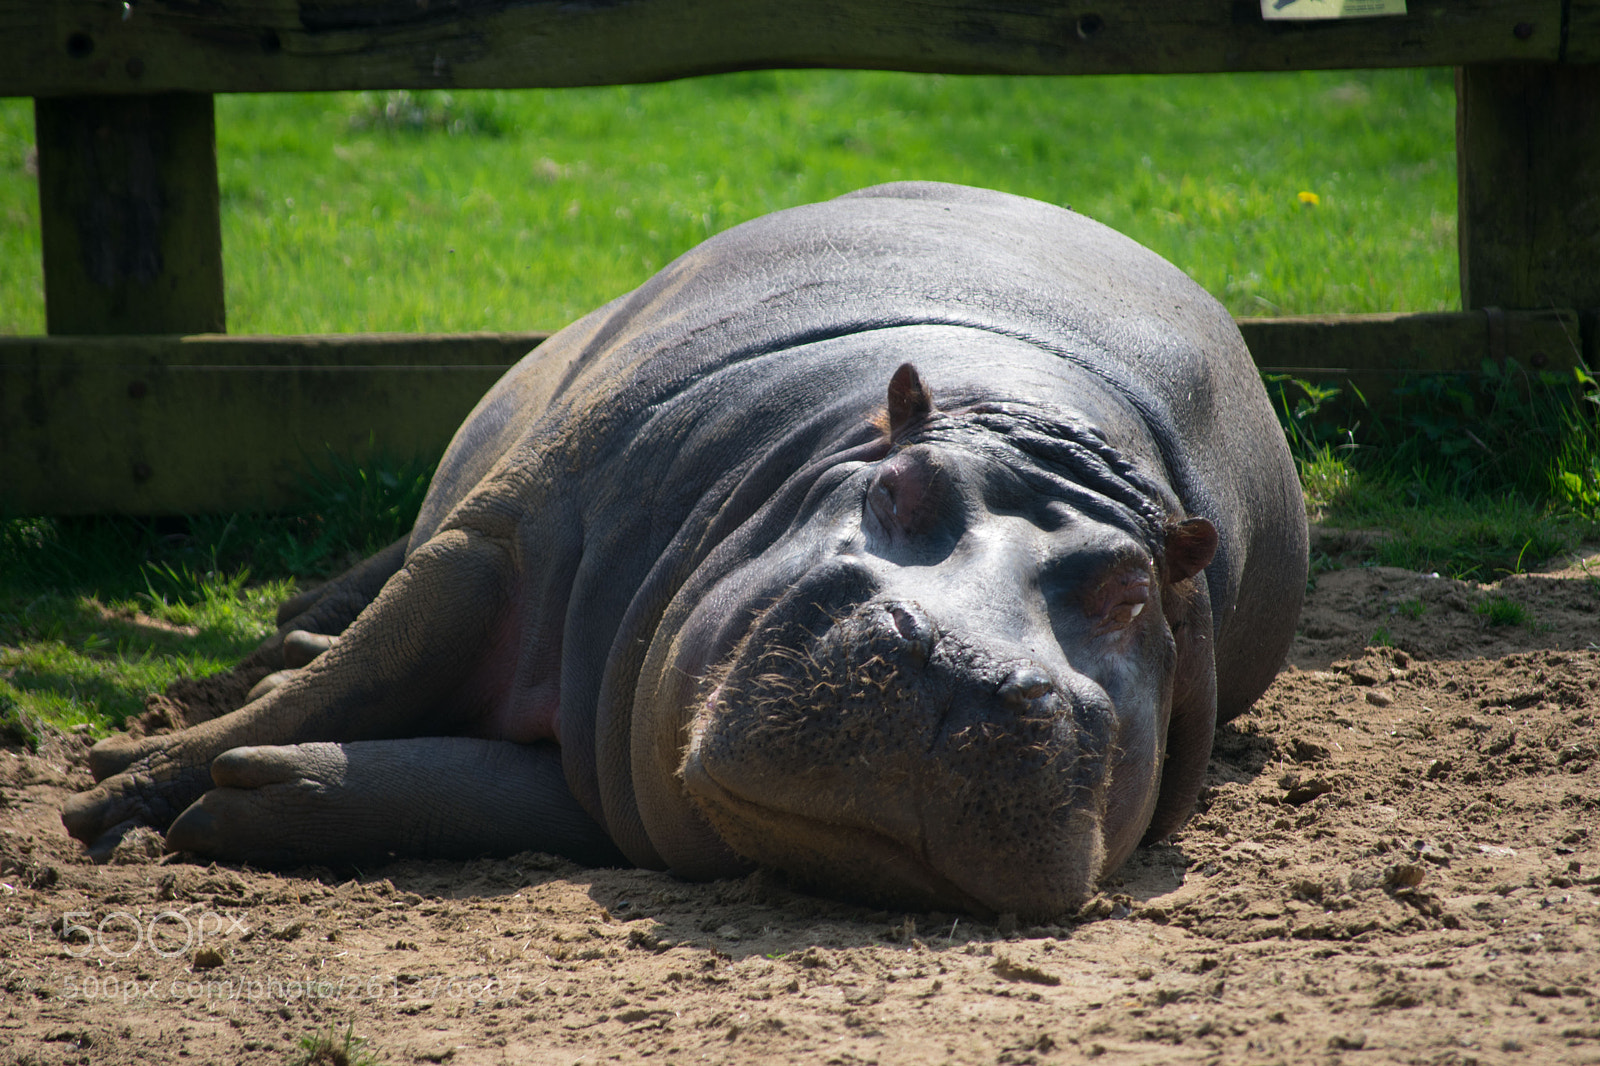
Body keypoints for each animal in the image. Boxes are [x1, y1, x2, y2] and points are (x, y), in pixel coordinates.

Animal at [63, 182, 1306, 919]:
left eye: (1132, 595)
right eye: (897, 488)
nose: (966, 670)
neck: (1038, 432)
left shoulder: (614, 764)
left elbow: (452, 788)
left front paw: (238, 799)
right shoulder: (494, 540)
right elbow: (345, 681)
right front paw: (111, 795)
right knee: (343, 621)